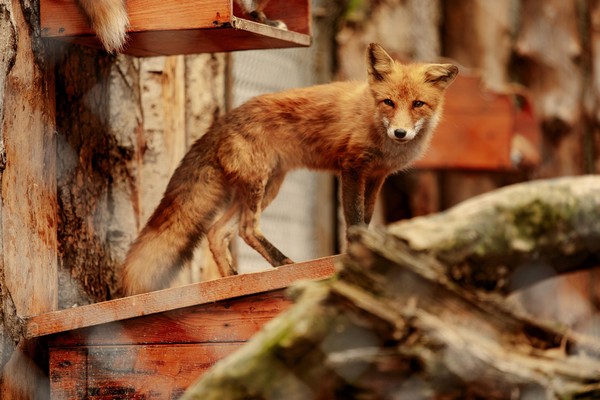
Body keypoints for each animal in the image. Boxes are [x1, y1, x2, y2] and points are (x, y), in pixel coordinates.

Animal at [118, 43, 460, 294]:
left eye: (418, 104)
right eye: (388, 102)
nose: (400, 133)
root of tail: (222, 120)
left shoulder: (376, 176)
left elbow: (366, 217)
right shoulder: (351, 167)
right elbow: (354, 221)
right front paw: (355, 253)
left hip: (268, 186)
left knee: (216, 232)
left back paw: (231, 280)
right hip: (259, 185)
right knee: (246, 229)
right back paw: (282, 263)